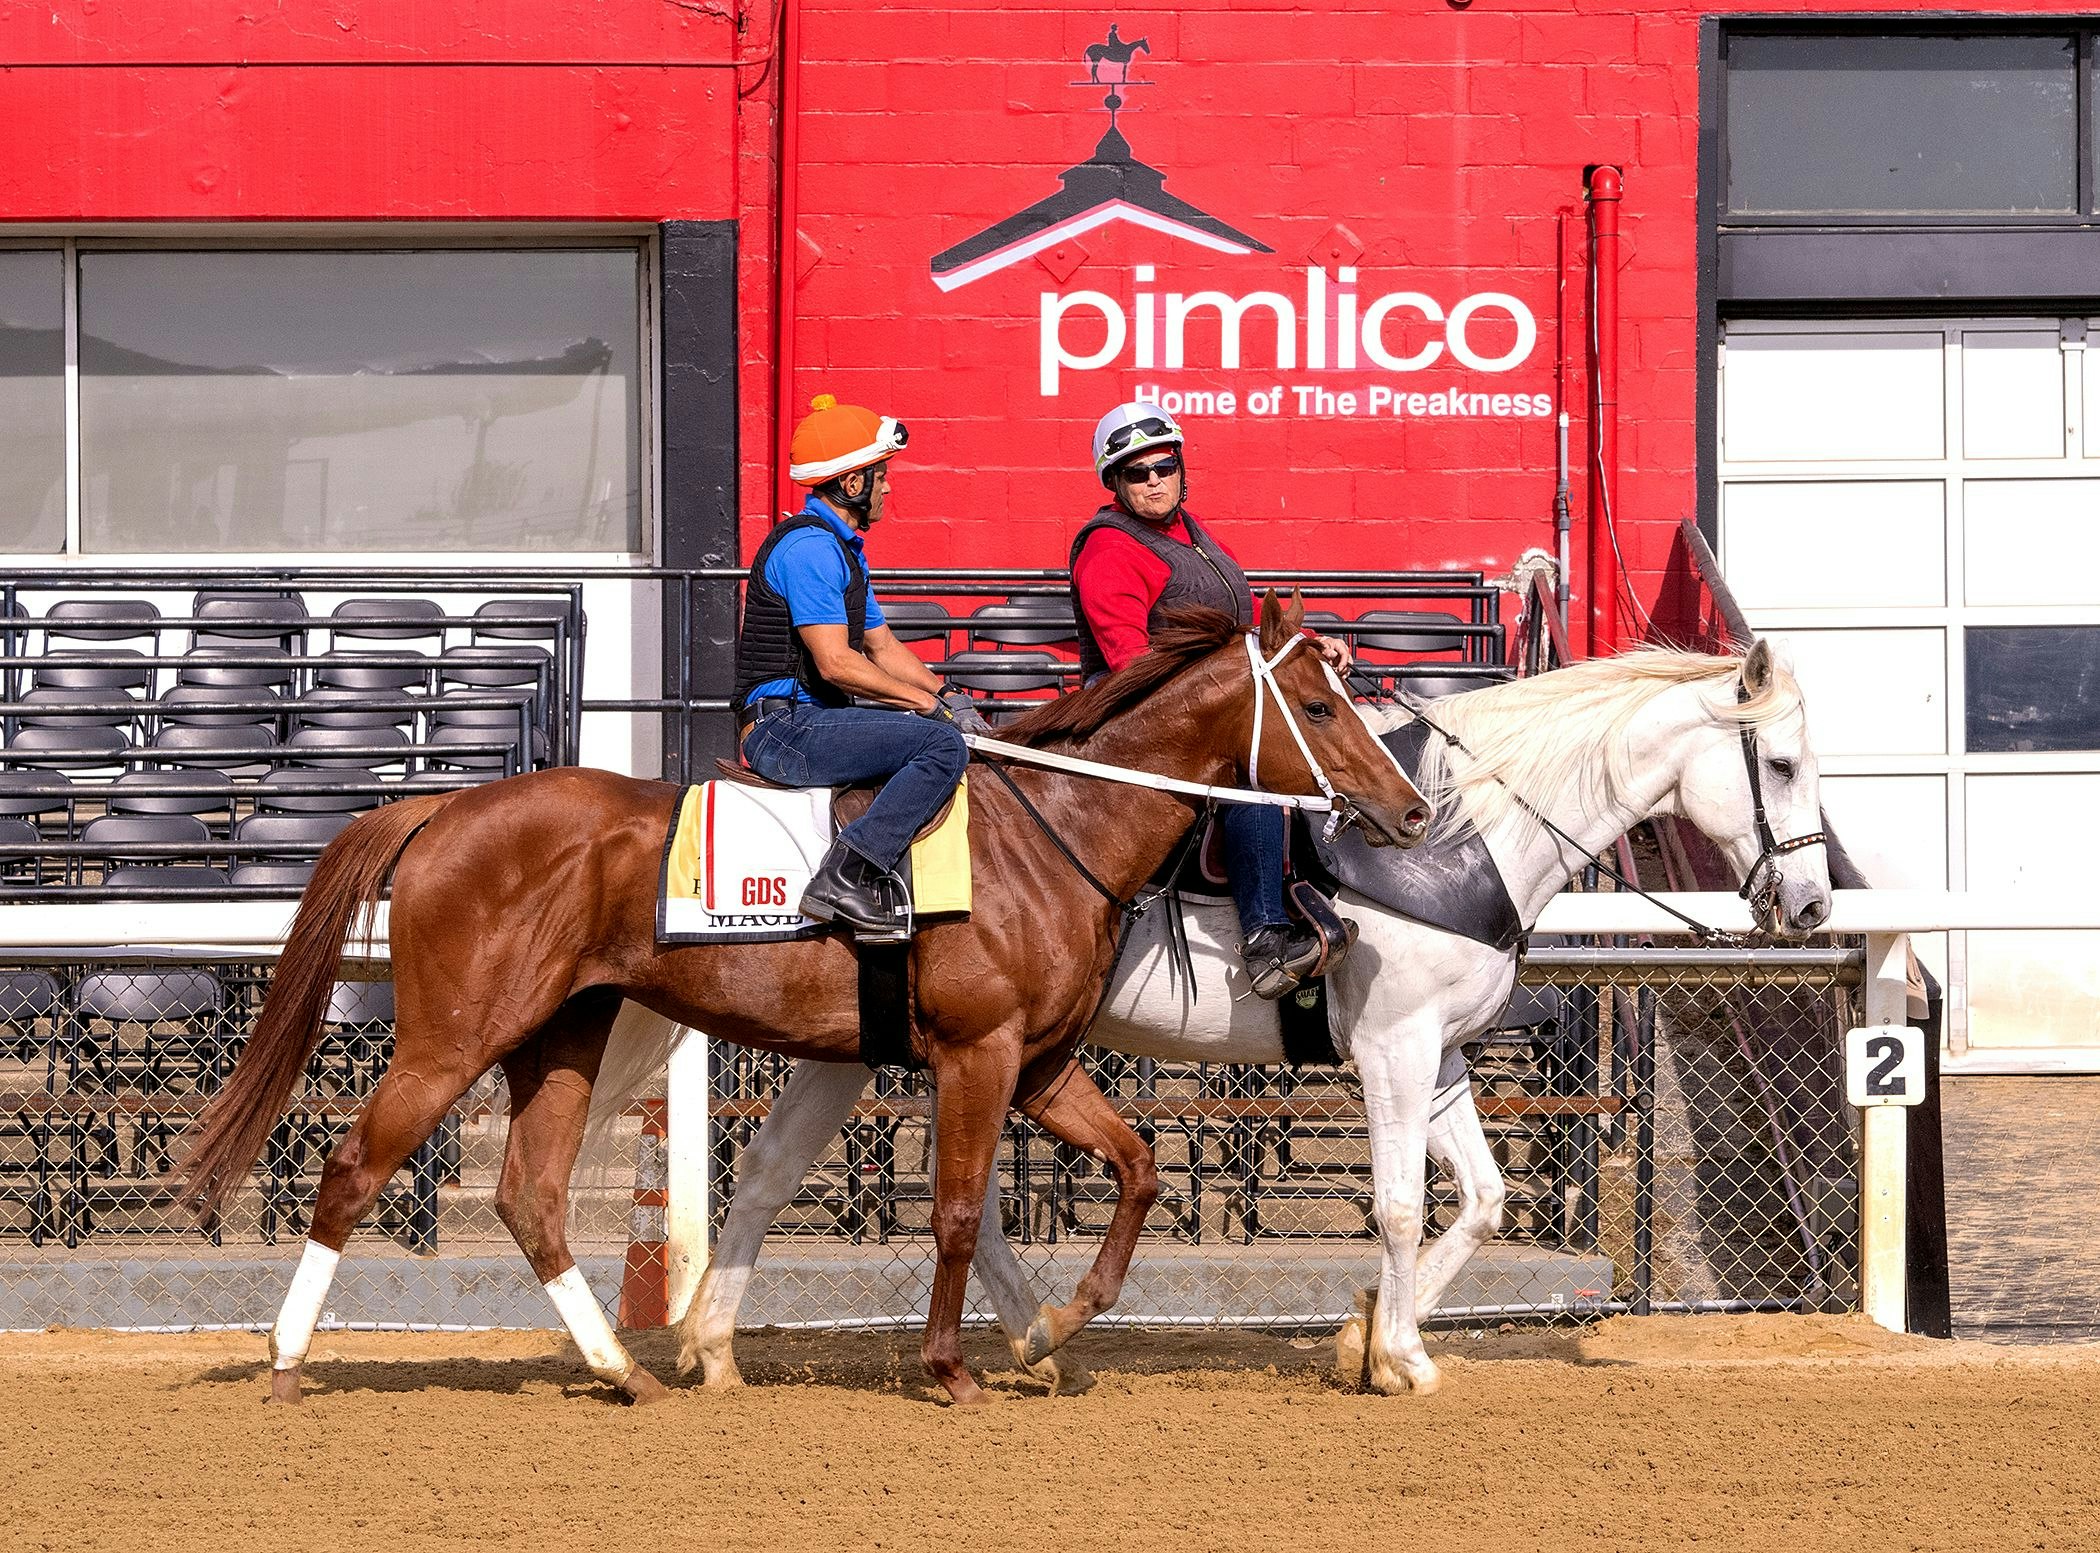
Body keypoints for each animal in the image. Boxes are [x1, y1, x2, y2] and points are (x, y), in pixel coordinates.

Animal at [184, 596, 1427, 1410]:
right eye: (1319, 704)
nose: (1411, 809)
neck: (1052, 829)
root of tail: (440, 810)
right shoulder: (977, 1052)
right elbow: (959, 1211)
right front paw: (952, 1367)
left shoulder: (1039, 1060)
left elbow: (1137, 1165)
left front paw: (1056, 1323)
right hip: (451, 1037)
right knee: (356, 1166)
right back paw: (288, 1362)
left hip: (562, 1036)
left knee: (529, 1194)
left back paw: (621, 1367)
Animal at [592, 642, 1822, 1393]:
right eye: (1782, 761)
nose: (1809, 903)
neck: (1454, 836)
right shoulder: (1392, 1048)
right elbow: (1399, 1206)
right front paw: (1395, 1356)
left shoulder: (1443, 1061)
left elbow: (1478, 1201)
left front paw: (1372, 1335)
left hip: (871, 1044)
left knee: (779, 1176)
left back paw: (734, 1341)